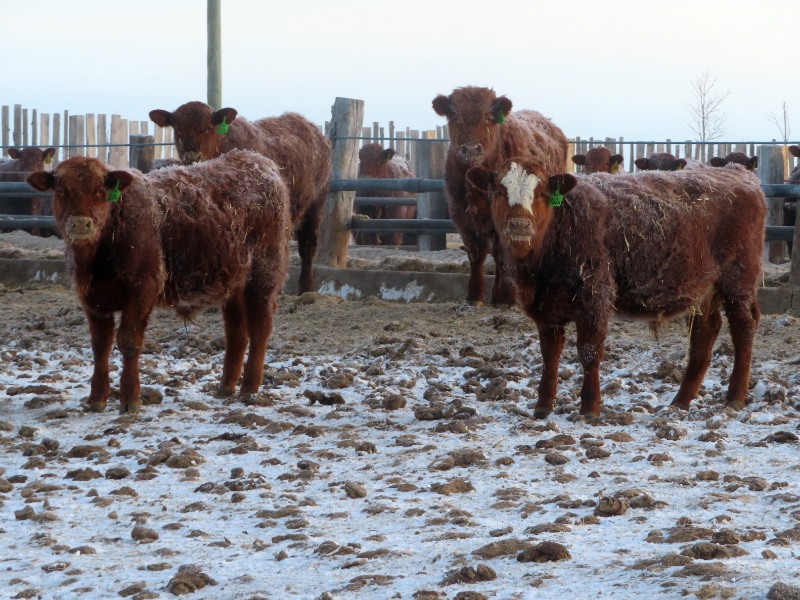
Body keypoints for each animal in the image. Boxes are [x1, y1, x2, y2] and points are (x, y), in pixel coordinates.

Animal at [26, 150, 291, 414]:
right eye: (61, 190)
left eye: (100, 190)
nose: (81, 223)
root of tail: (256, 160)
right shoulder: (92, 300)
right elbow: (100, 346)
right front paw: (96, 399)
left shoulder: (143, 291)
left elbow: (129, 342)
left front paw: (130, 399)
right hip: (233, 283)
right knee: (236, 330)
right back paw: (226, 387)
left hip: (263, 276)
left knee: (259, 328)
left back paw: (249, 389)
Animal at [149, 101, 330, 294]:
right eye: (178, 130)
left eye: (208, 128)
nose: (192, 156)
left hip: (316, 203)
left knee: (307, 245)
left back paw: (306, 288)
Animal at [432, 86, 568, 306]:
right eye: (454, 115)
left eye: (489, 116)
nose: (471, 148)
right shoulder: (462, 218)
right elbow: (476, 254)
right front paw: (474, 296)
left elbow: (501, 257)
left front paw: (505, 297)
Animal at [466, 159, 765, 420]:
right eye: (499, 191)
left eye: (541, 193)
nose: (519, 225)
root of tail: (738, 173)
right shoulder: (545, 308)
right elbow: (549, 355)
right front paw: (543, 406)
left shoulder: (594, 298)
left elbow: (588, 353)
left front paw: (589, 408)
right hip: (704, 290)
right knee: (704, 333)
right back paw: (680, 401)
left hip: (738, 280)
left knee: (743, 328)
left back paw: (735, 396)